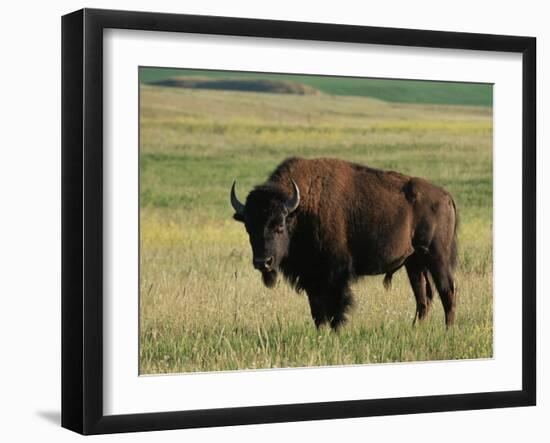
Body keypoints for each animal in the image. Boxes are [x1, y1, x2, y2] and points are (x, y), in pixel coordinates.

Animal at [231, 159, 460, 330]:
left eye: (279, 225)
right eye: (248, 227)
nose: (263, 262)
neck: (301, 209)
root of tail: (446, 196)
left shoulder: (334, 274)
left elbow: (336, 307)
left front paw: (335, 331)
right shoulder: (311, 277)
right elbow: (317, 310)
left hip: (436, 257)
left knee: (447, 290)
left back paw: (448, 330)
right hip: (414, 263)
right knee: (424, 298)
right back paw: (415, 329)